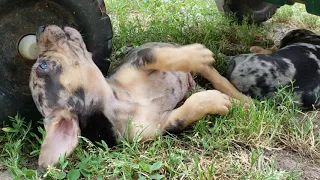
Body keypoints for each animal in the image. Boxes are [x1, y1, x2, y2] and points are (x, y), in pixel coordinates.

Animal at [30, 24, 250, 168]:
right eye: (43, 66)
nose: (40, 27)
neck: (123, 103)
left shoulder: (139, 62)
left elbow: (153, 55)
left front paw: (194, 54)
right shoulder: (160, 126)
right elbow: (187, 110)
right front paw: (215, 100)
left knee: (216, 77)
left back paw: (244, 100)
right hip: (191, 86)